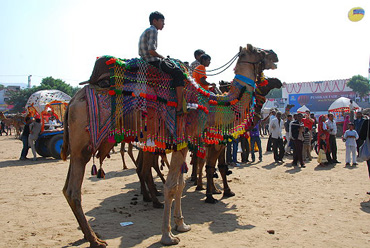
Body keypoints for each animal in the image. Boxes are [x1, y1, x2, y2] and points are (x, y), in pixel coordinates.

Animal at [61, 44, 278, 246]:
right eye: (258, 51)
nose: (274, 54)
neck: (209, 105)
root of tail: (72, 101)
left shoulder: (183, 145)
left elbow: (180, 185)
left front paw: (181, 224)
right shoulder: (186, 140)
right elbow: (171, 186)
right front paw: (168, 236)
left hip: (80, 147)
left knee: (66, 189)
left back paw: (91, 234)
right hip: (83, 146)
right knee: (74, 191)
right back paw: (95, 240)